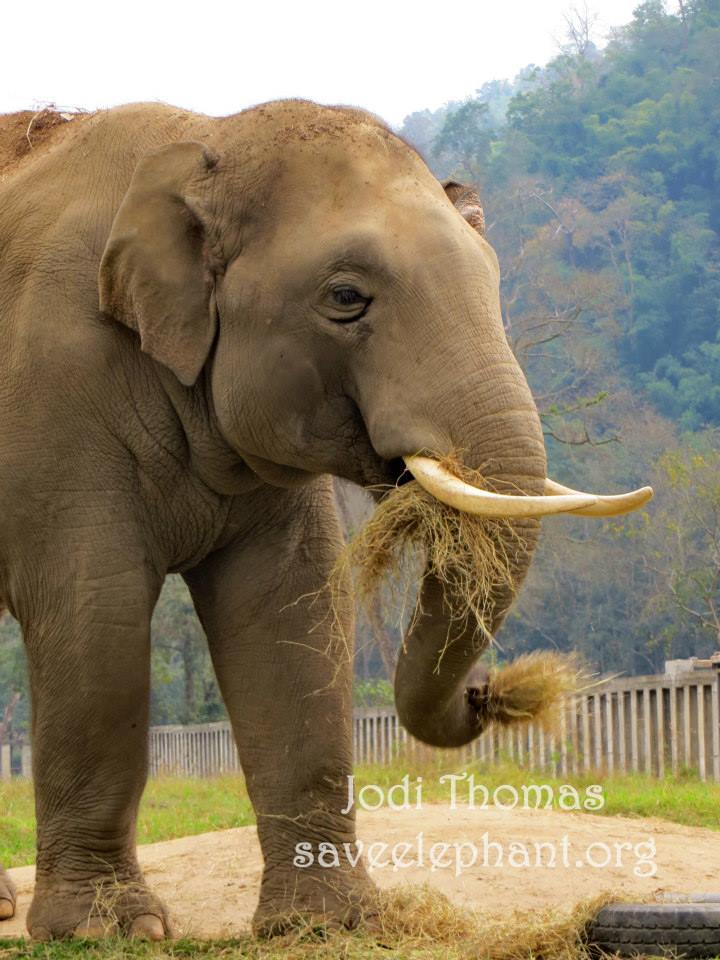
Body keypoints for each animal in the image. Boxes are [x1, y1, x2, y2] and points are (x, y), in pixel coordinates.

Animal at [0, 100, 650, 939]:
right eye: (345, 298)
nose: (492, 690)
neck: (203, 141)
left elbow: (292, 614)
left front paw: (329, 924)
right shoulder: (55, 390)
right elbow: (93, 611)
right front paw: (110, 931)